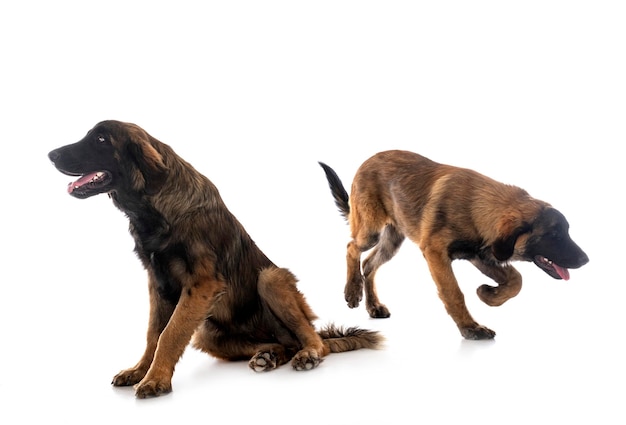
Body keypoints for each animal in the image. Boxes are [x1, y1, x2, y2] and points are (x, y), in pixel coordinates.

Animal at [46, 120, 380, 398]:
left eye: (101, 139)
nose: (50, 154)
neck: (157, 209)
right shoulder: (158, 283)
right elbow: (153, 334)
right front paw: (140, 371)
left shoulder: (202, 284)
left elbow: (169, 334)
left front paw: (155, 380)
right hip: (207, 332)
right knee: (283, 342)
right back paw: (269, 356)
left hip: (269, 279)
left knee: (313, 340)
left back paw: (306, 354)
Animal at [320, 149, 588, 338]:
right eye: (554, 234)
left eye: (565, 232)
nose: (585, 260)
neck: (480, 207)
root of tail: (368, 160)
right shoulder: (435, 253)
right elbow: (454, 292)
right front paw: (470, 328)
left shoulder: (480, 254)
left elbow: (516, 280)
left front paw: (489, 295)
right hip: (371, 230)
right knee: (352, 249)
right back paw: (352, 291)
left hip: (393, 239)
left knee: (368, 264)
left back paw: (373, 305)